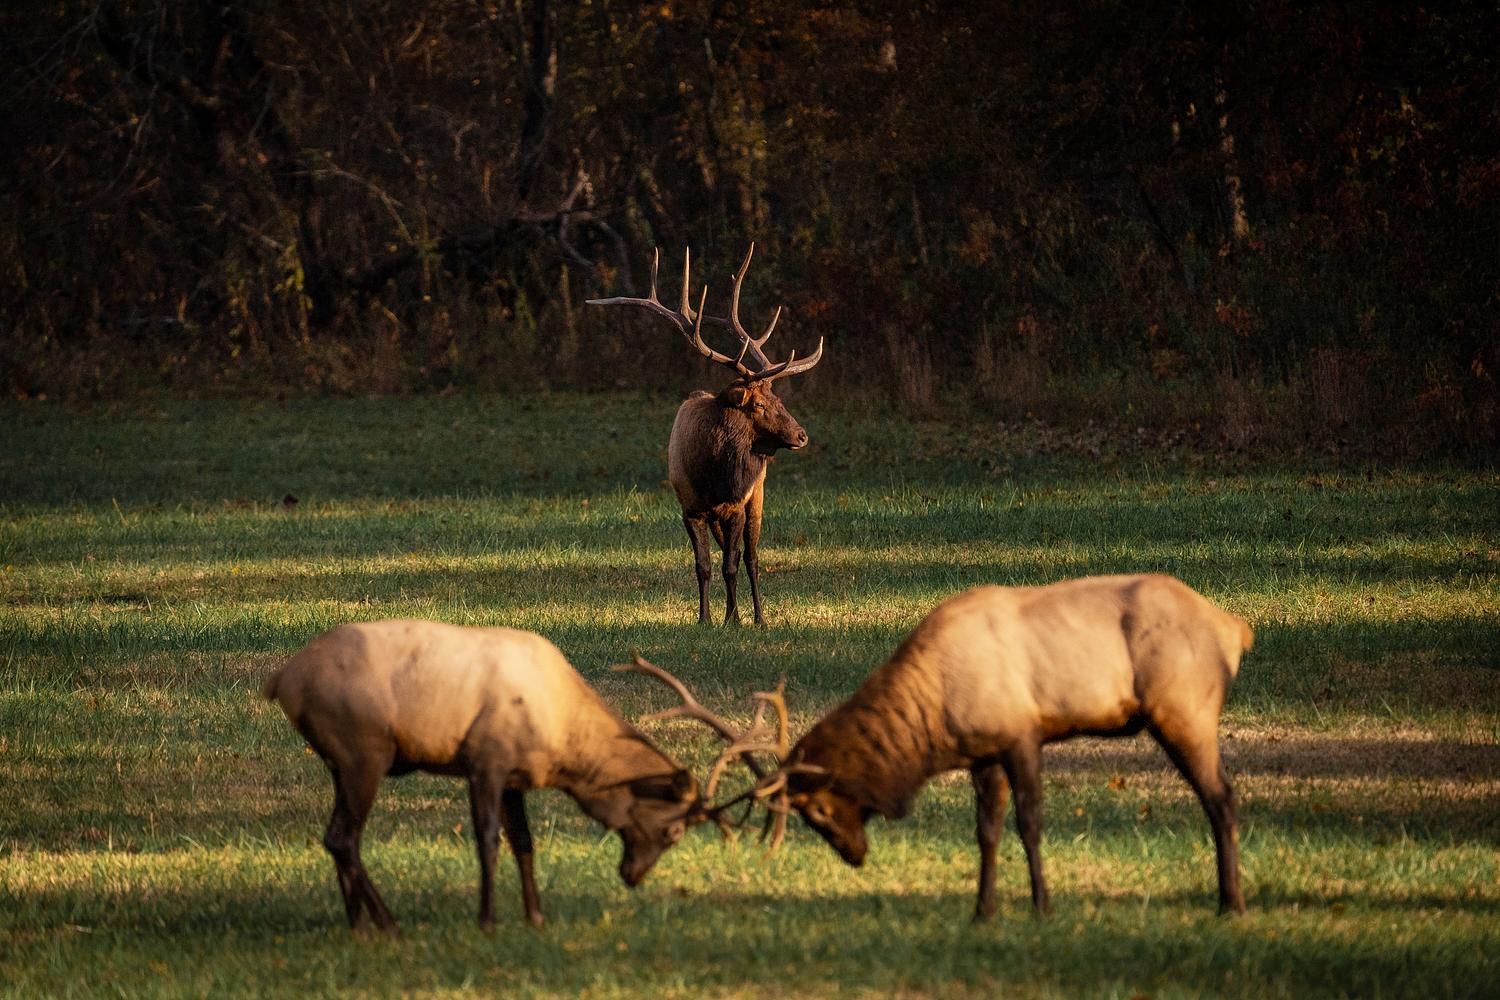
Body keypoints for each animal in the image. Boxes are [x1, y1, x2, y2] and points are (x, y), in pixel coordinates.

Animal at [262, 620, 731, 933]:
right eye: (674, 831)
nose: (633, 876)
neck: (562, 745)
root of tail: (282, 680)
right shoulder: (485, 761)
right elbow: (488, 840)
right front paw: (487, 919)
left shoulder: (513, 779)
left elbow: (524, 842)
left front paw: (535, 916)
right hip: (365, 750)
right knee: (342, 837)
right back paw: (388, 924)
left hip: (339, 763)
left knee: (338, 837)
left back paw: (358, 925)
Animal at [588, 245, 823, 626]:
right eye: (759, 403)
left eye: (779, 399)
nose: (801, 435)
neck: (714, 475)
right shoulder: (690, 508)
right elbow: (703, 566)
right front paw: (707, 619)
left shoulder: (737, 505)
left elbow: (732, 564)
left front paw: (735, 620)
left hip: (757, 497)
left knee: (751, 558)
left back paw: (759, 617)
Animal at [711, 574, 1255, 918]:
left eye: (819, 811)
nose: (854, 855)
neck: (935, 722)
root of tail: (1235, 629)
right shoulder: (983, 752)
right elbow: (986, 831)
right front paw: (983, 910)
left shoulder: (1021, 735)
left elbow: (1029, 823)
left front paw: (1041, 906)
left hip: (1184, 709)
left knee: (1222, 797)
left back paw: (1231, 904)